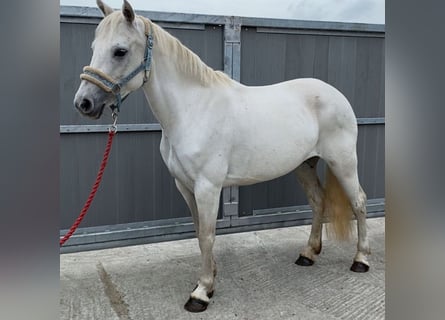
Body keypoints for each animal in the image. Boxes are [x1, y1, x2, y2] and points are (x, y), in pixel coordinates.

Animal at [73, 0, 370, 312]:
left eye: (119, 51)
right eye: (94, 46)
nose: (84, 103)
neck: (193, 109)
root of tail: (336, 95)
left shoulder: (208, 187)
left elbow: (207, 235)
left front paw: (201, 292)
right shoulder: (185, 186)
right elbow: (198, 232)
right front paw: (209, 278)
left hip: (343, 162)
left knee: (359, 202)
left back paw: (361, 259)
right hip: (305, 165)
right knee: (317, 202)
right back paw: (308, 254)